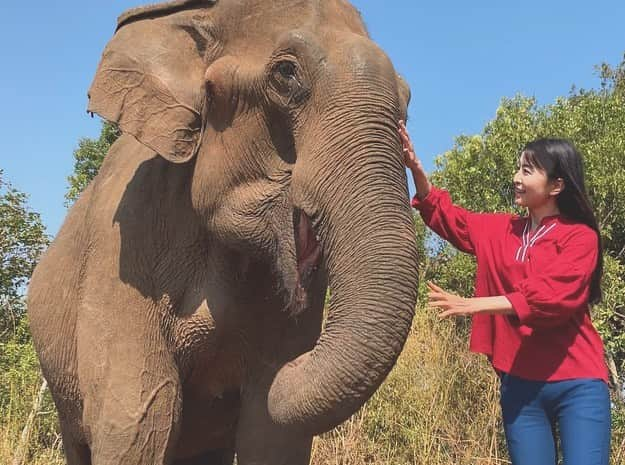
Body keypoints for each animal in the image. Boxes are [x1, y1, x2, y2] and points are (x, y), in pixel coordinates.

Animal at [28, 0, 420, 464]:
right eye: (286, 74)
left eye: (407, 97)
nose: (297, 363)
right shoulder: (123, 246)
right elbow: (139, 419)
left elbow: (270, 431)